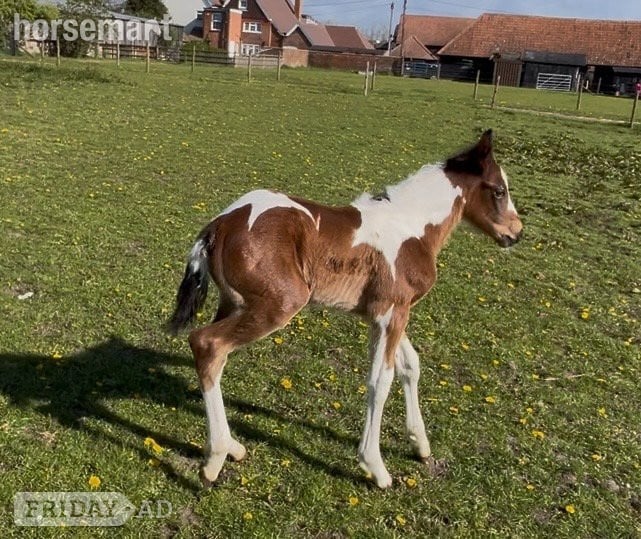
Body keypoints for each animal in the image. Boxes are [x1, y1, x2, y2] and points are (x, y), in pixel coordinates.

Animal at [168, 130, 523, 488]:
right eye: (499, 190)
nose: (516, 233)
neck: (413, 228)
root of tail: (220, 225)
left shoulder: (387, 315)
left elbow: (410, 366)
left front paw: (420, 444)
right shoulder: (391, 313)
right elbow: (380, 381)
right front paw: (375, 466)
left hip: (233, 303)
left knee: (216, 356)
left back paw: (232, 447)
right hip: (278, 305)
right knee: (208, 344)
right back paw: (215, 459)